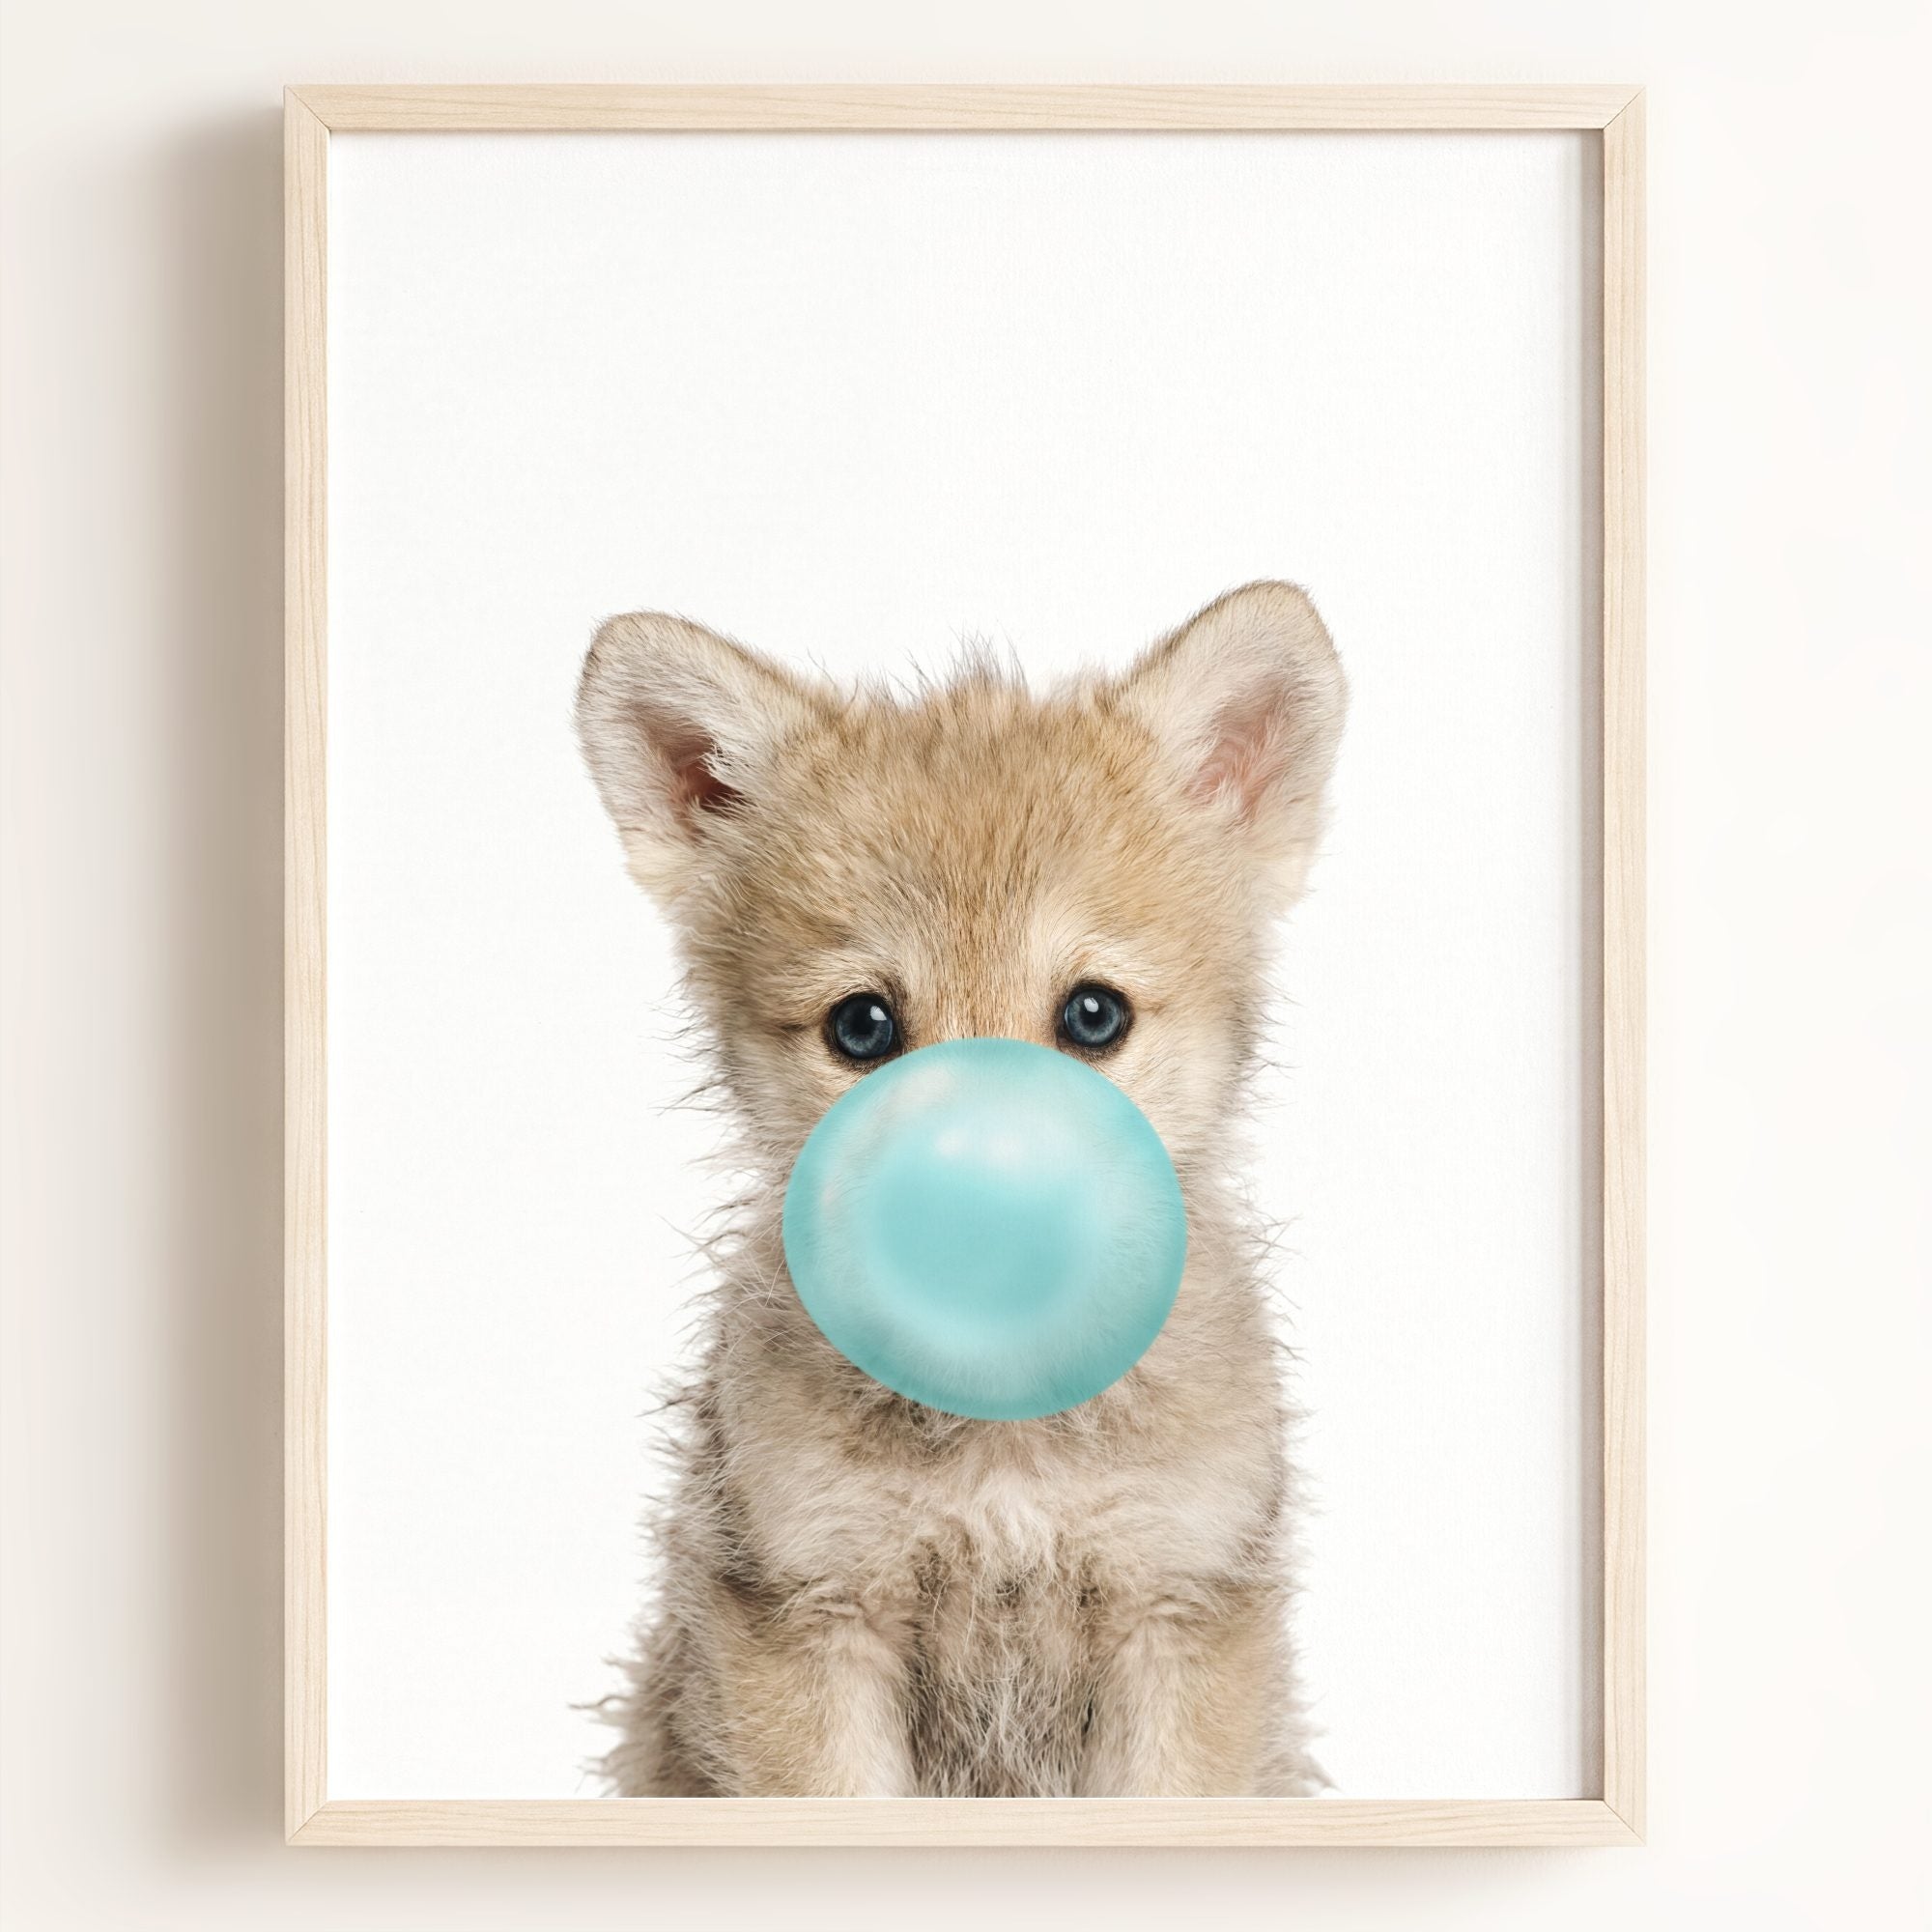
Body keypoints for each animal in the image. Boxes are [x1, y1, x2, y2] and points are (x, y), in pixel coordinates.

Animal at [576, 581, 1346, 1797]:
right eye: (861, 1025)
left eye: (1092, 1013)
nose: (980, 1215)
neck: (1004, 1441)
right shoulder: (807, 1613)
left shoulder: (1178, 1609)